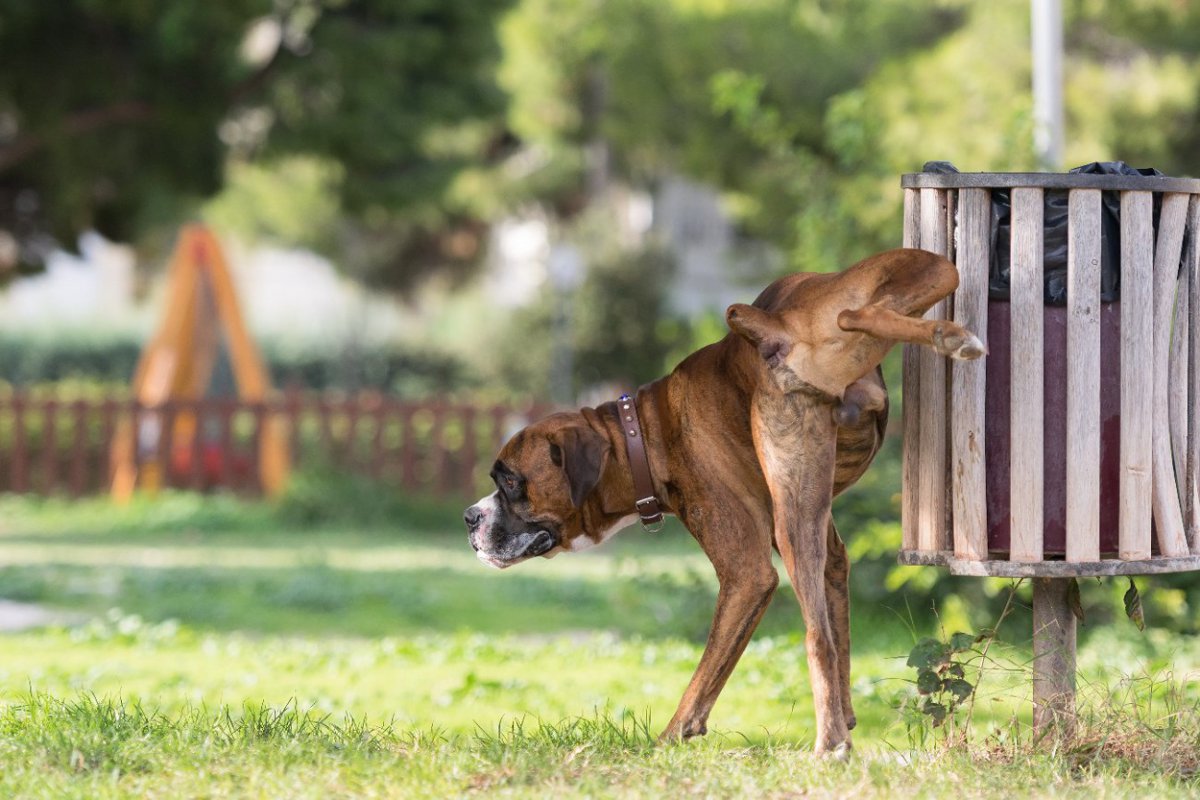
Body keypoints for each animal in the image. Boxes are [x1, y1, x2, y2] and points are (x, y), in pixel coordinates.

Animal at [463, 247, 979, 753]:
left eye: (510, 481)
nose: (470, 517)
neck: (643, 433)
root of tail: (776, 325)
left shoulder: (746, 575)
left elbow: (707, 673)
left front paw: (670, 738)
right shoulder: (829, 551)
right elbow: (840, 630)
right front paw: (848, 716)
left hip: (791, 520)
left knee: (815, 638)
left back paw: (827, 744)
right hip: (926, 272)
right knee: (862, 311)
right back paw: (948, 335)